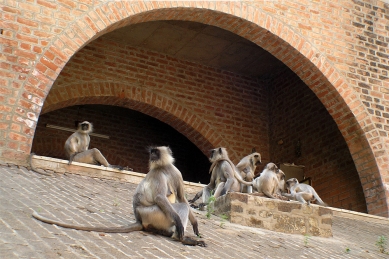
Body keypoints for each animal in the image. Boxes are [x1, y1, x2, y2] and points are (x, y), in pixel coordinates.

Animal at [31, 146, 206, 248]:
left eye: (155, 153)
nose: (152, 157)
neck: (164, 167)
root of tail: (139, 218)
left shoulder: (175, 172)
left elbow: (182, 198)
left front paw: (195, 225)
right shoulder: (157, 174)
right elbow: (161, 199)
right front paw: (182, 224)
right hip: (153, 214)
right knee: (176, 208)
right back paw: (180, 238)